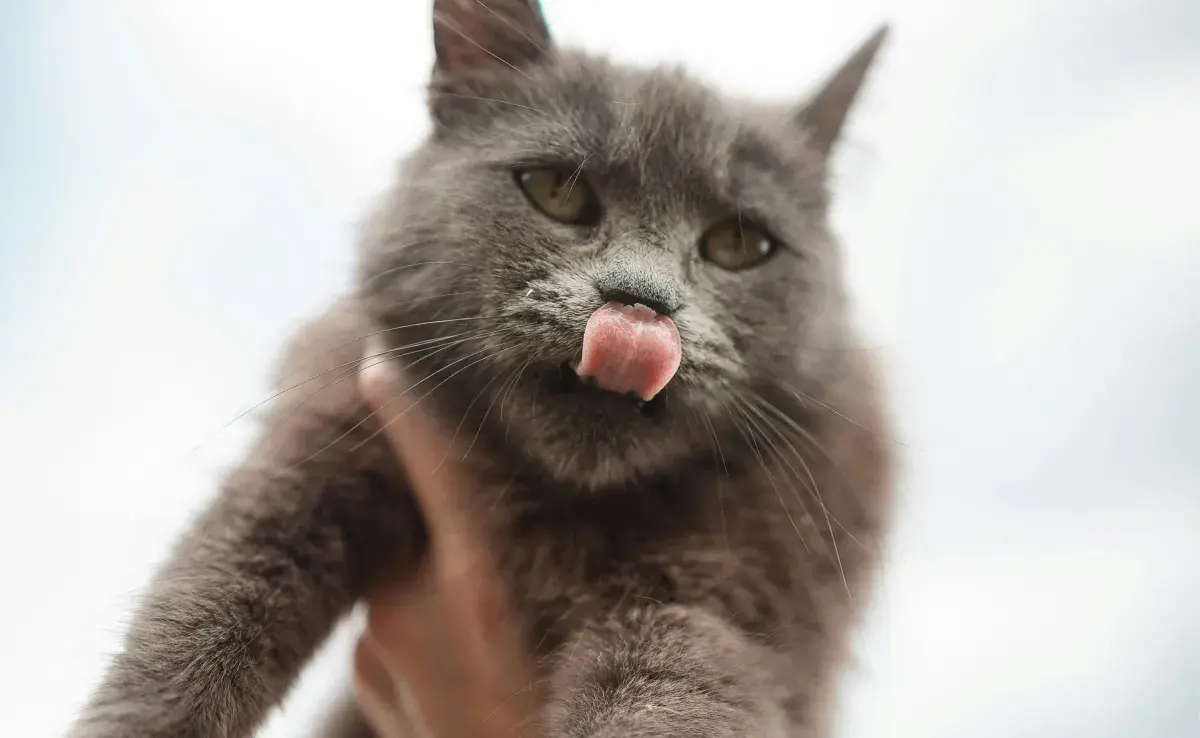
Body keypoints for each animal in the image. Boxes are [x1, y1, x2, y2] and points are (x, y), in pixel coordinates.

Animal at [65, 1, 892, 738]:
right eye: (557, 190)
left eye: (738, 244)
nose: (640, 306)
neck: (547, 506)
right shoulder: (320, 445)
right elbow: (198, 615)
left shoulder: (726, 598)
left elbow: (671, 700)